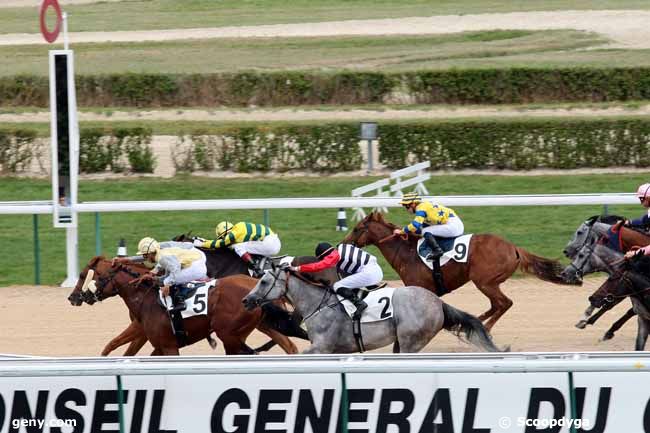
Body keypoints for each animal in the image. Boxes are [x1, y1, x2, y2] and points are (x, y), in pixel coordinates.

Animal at [69, 256, 302, 354]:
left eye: (94, 275)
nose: (77, 297)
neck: (146, 297)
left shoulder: (165, 344)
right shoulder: (154, 341)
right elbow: (115, 347)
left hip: (230, 333)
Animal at [240, 268, 498, 352]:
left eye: (264, 281)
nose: (246, 300)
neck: (318, 304)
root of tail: (437, 302)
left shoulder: (322, 347)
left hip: (411, 341)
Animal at [342, 211, 568, 330]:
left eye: (357, 228)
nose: (343, 243)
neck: (406, 252)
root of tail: (513, 248)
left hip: (484, 281)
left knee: (504, 303)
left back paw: (485, 328)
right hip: (488, 282)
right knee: (496, 305)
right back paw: (477, 322)